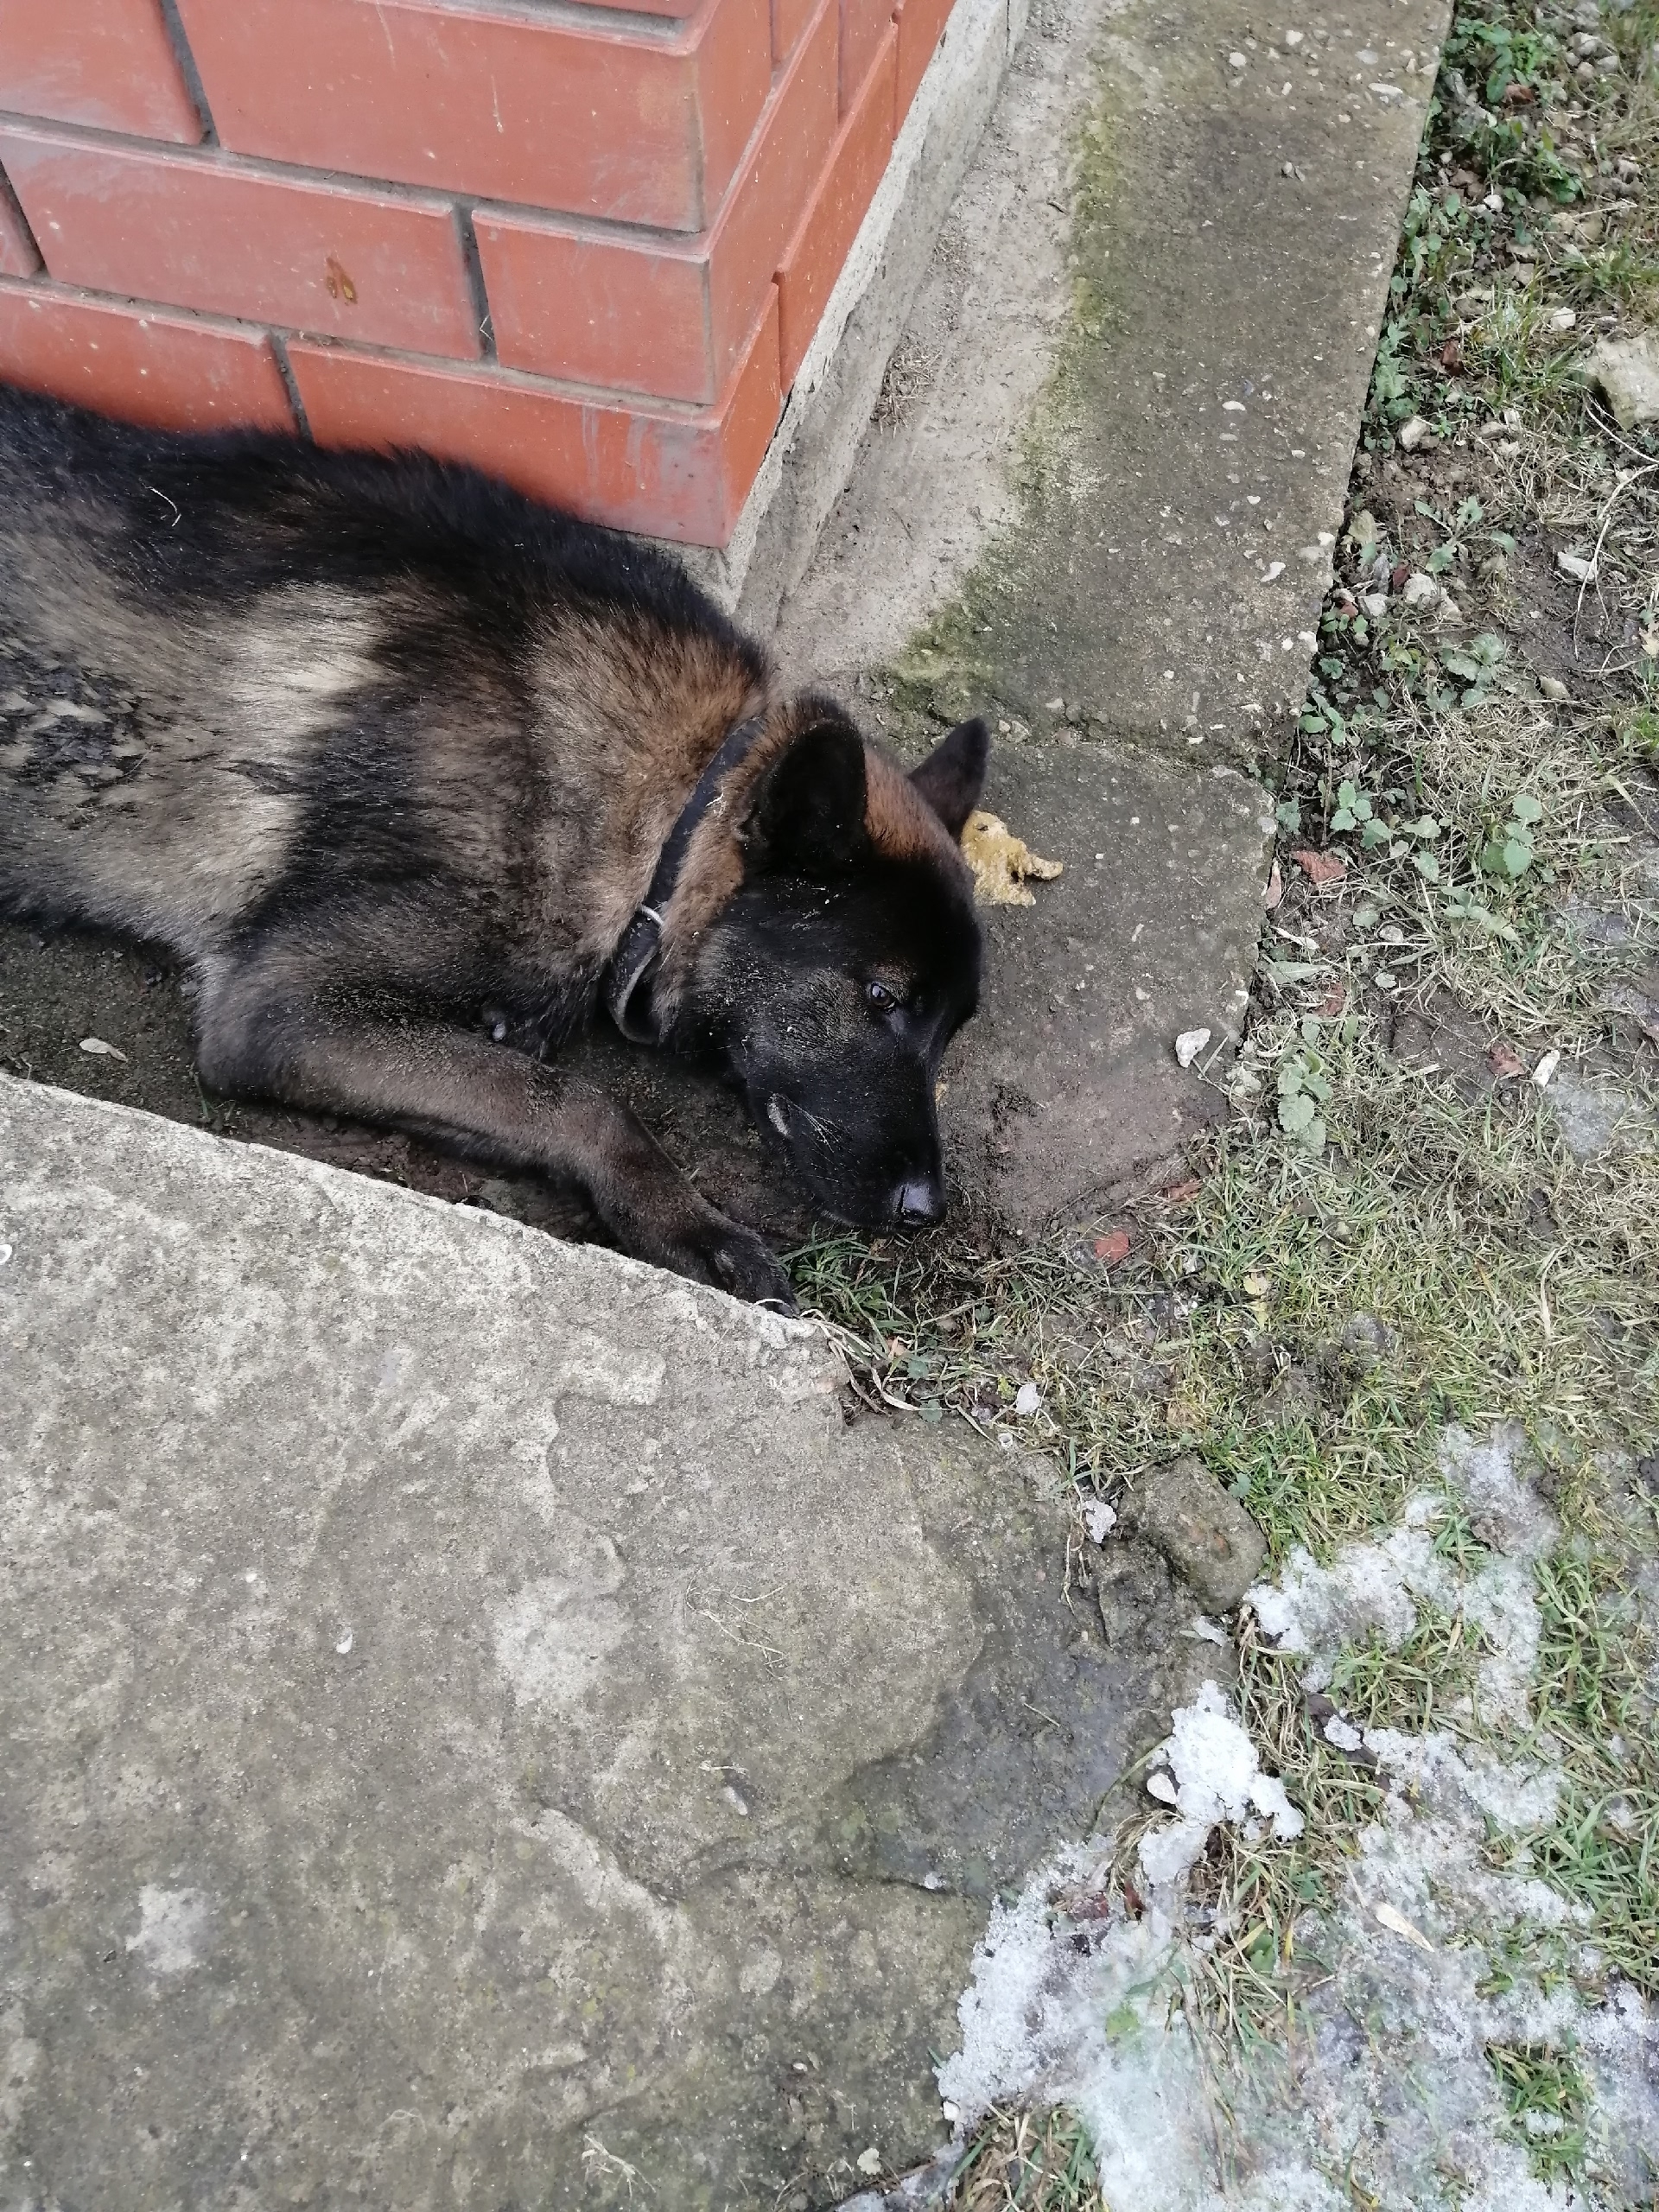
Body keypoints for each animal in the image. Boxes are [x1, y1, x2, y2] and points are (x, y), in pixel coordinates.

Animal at [0, 386, 989, 1307]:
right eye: (882, 998)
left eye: (950, 1026)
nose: (924, 1211)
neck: (664, 811)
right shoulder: (279, 1010)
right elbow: (579, 1100)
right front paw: (688, 1222)